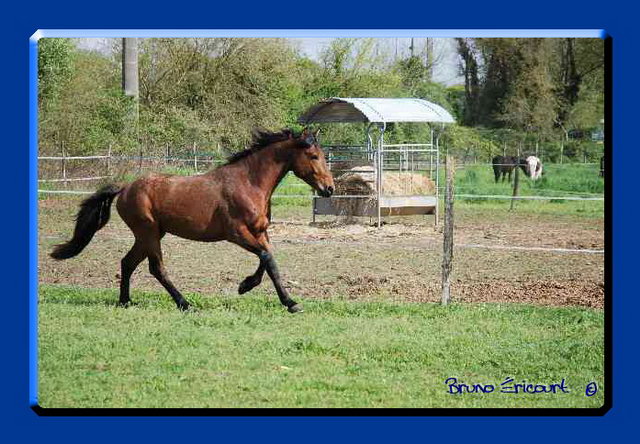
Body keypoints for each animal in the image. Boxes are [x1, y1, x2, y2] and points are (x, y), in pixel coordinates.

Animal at [50, 128, 336, 314]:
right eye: (313, 156)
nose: (329, 189)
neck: (249, 183)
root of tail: (125, 188)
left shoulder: (260, 232)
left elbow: (269, 262)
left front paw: (262, 291)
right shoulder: (237, 233)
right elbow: (267, 259)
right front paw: (280, 299)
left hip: (149, 235)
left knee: (128, 262)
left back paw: (125, 302)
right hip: (148, 233)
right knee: (156, 269)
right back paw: (185, 304)